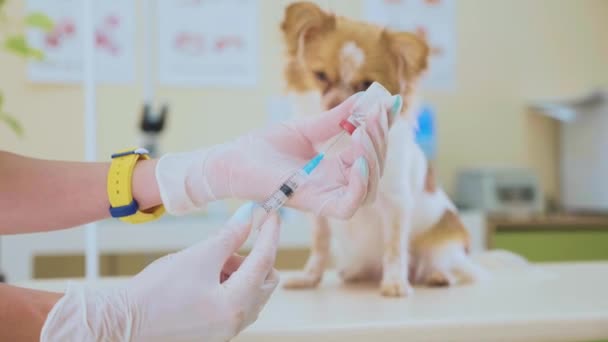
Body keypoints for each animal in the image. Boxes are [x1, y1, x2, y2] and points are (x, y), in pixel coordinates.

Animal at [280, 1, 484, 296]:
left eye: (367, 84)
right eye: (320, 75)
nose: (335, 104)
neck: (347, 143)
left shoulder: (396, 203)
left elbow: (394, 247)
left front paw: (396, 282)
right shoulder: (319, 211)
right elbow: (319, 245)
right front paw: (309, 278)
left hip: (441, 245)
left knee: (448, 268)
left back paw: (437, 276)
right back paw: (355, 273)